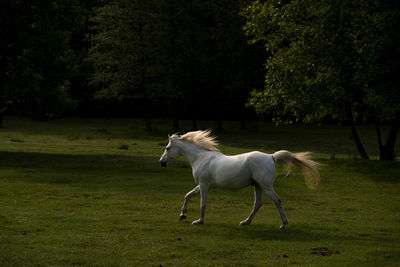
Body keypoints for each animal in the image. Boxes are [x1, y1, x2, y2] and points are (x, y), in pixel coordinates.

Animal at [159, 130, 318, 230]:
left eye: (167, 148)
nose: (161, 162)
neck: (201, 158)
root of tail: (271, 156)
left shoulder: (204, 185)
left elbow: (202, 203)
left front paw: (199, 221)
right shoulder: (203, 185)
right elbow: (188, 195)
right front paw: (182, 215)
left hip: (266, 186)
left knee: (277, 200)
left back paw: (283, 224)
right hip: (257, 186)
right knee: (257, 204)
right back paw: (245, 222)